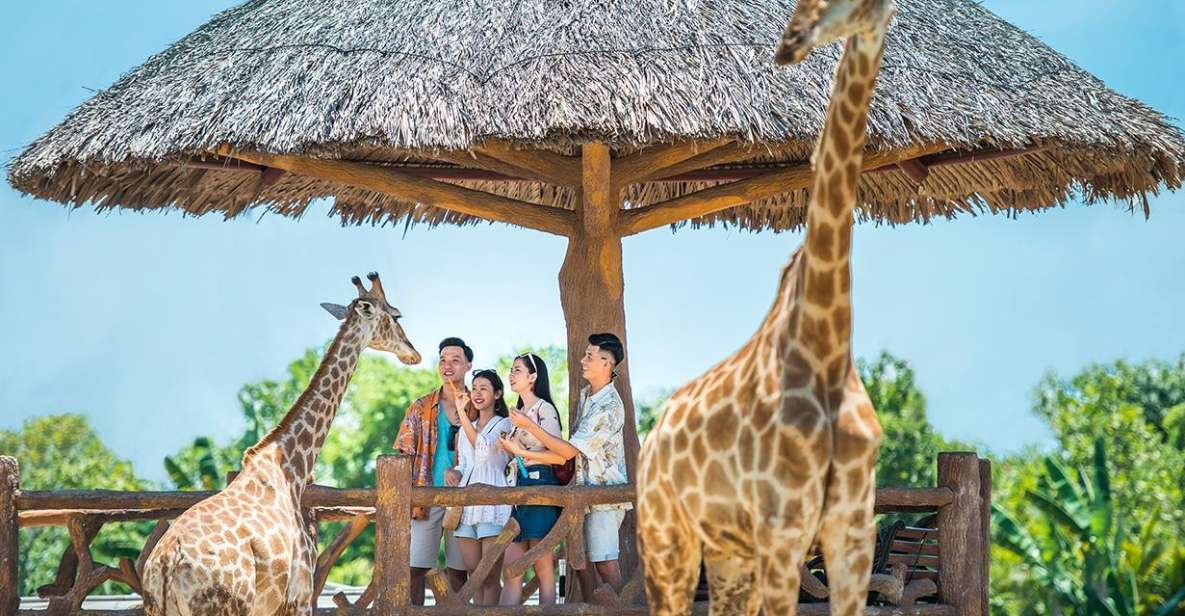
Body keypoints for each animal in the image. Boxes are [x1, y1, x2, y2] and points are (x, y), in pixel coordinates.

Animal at [138, 274, 421, 616]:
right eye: (395, 316)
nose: (413, 353)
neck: (292, 469)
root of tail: (166, 567)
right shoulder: (300, 596)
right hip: (224, 607)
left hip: (158, 608)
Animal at [639, 1, 895, 616]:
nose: (789, 44)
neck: (826, 353)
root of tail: (650, 443)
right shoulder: (784, 528)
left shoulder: (852, 533)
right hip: (667, 539)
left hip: (729, 553)